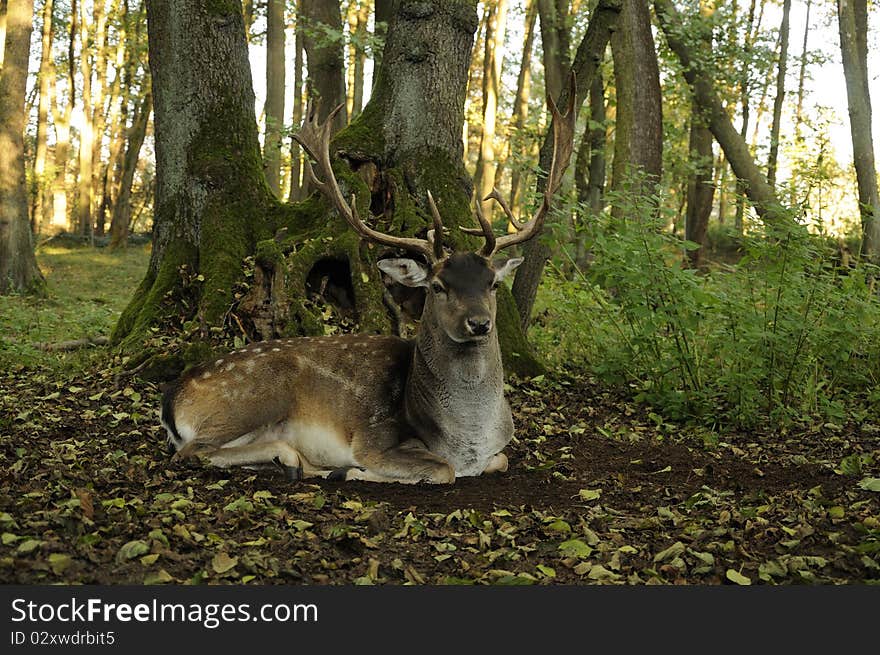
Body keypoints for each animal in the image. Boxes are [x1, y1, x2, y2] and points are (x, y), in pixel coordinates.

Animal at [162, 88, 576, 482]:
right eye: (437, 286)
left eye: (492, 284)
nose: (479, 323)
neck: (468, 440)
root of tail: (172, 397)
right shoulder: (374, 437)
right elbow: (442, 470)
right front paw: (354, 470)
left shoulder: (497, 451)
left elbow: (502, 460)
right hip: (252, 400)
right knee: (191, 452)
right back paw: (298, 460)